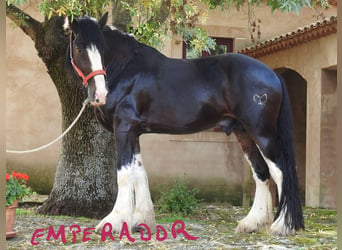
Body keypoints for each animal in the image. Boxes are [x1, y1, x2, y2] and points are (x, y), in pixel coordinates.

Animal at [62, 13, 304, 236]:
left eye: (101, 48)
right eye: (79, 48)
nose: (100, 94)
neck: (126, 69)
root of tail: (272, 74)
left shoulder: (123, 128)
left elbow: (124, 174)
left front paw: (113, 221)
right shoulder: (134, 133)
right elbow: (139, 173)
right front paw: (140, 221)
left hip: (262, 133)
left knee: (280, 173)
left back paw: (281, 226)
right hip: (244, 132)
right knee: (261, 172)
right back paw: (252, 223)